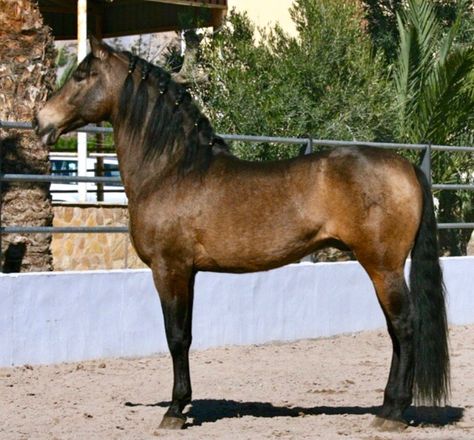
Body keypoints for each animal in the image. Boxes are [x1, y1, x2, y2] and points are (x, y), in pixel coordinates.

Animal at [35, 37, 450, 430]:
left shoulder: (169, 269)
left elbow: (175, 337)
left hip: (383, 266)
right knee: (395, 330)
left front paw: (175, 410)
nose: (41, 121)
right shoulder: (188, 272)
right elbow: (186, 335)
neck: (172, 171)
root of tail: (407, 166)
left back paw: (392, 412)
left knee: (404, 326)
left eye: (82, 74)